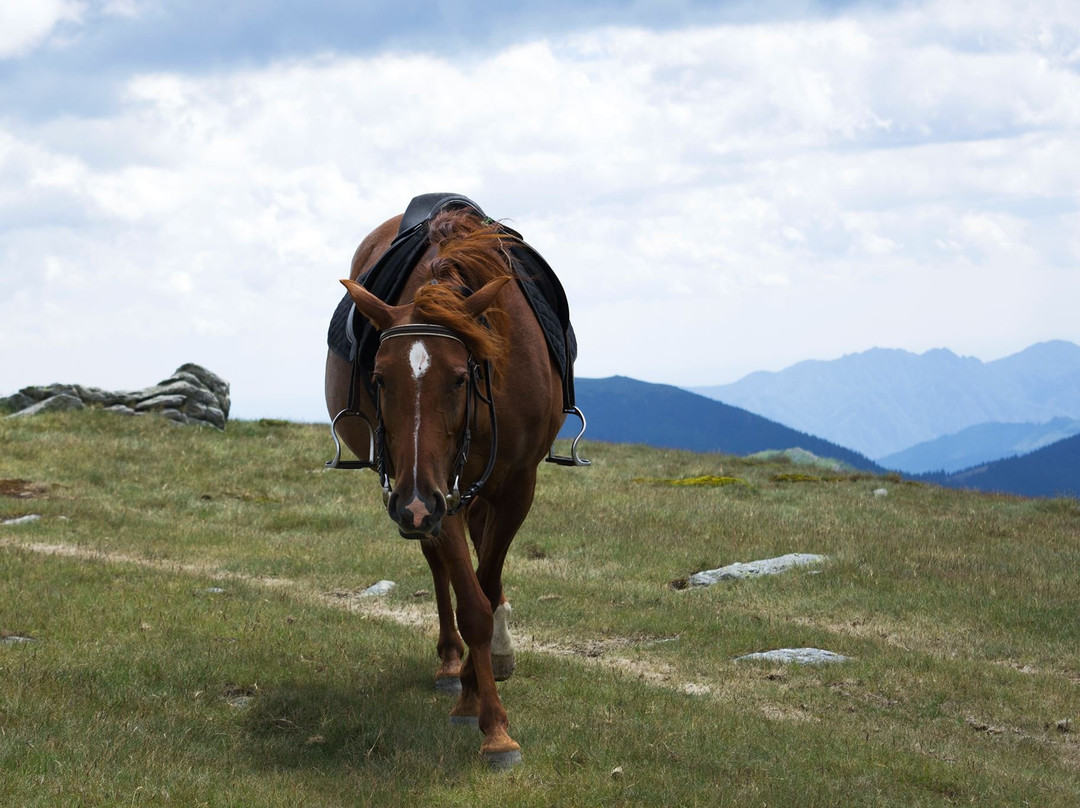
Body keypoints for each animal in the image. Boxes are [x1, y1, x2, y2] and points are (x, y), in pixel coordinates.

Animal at [324, 202, 570, 764]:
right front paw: (487, 718)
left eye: (459, 377)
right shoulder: (437, 491)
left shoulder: (516, 483)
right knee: (441, 568)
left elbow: (488, 582)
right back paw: (451, 663)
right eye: (378, 378)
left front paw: (488, 690)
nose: (414, 507)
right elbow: (470, 600)